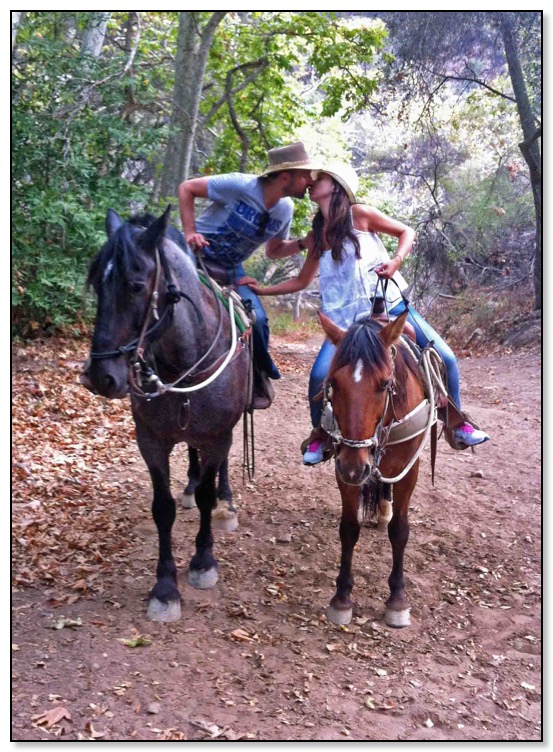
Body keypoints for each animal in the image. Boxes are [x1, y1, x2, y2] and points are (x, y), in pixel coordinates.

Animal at [81, 207, 250, 624]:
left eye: (136, 286)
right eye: (97, 285)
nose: (99, 377)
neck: (185, 362)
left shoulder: (217, 435)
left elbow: (207, 493)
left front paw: (203, 562)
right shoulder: (151, 440)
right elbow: (163, 508)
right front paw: (165, 587)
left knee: (219, 470)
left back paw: (226, 502)